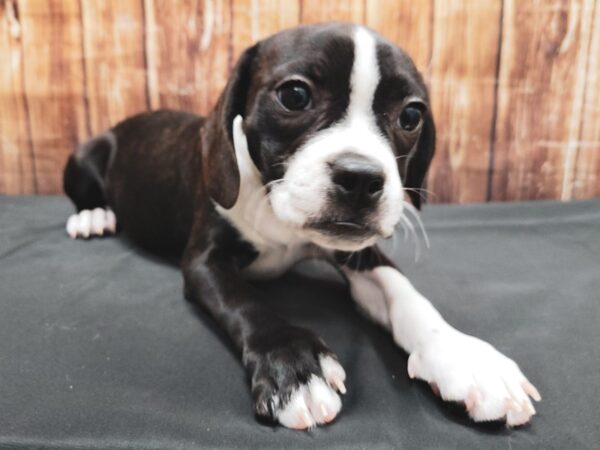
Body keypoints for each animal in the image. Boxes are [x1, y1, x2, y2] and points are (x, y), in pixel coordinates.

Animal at [63, 23, 540, 428]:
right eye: (294, 96)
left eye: (410, 116)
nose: (361, 177)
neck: (276, 208)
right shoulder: (204, 262)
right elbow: (246, 302)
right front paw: (294, 365)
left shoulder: (361, 254)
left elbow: (406, 295)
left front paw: (464, 357)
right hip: (86, 154)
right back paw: (93, 215)